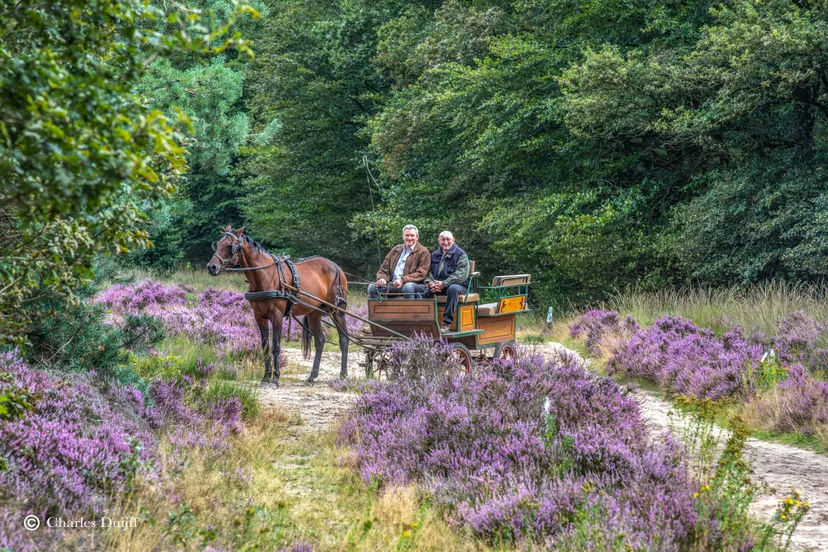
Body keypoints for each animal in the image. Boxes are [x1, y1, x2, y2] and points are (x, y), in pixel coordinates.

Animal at [206, 225, 349, 386]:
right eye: (217, 244)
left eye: (230, 246)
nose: (212, 267)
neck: (266, 275)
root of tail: (337, 267)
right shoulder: (259, 316)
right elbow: (265, 346)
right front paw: (266, 376)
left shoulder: (277, 315)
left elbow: (276, 345)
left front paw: (275, 378)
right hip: (314, 313)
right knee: (319, 341)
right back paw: (312, 377)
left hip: (337, 311)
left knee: (344, 339)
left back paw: (343, 374)